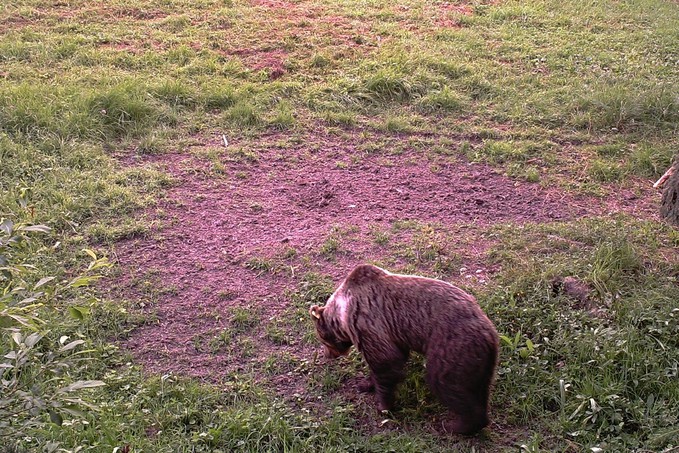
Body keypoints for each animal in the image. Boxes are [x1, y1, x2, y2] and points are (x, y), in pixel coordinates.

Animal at [312, 264, 500, 432]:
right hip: (481, 362)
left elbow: (385, 362)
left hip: (451, 347)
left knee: (446, 382)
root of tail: (489, 332)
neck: (343, 315)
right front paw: (365, 384)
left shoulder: (368, 324)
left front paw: (383, 405)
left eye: (323, 340)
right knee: (478, 388)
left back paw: (457, 426)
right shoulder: (393, 335)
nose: (327, 354)